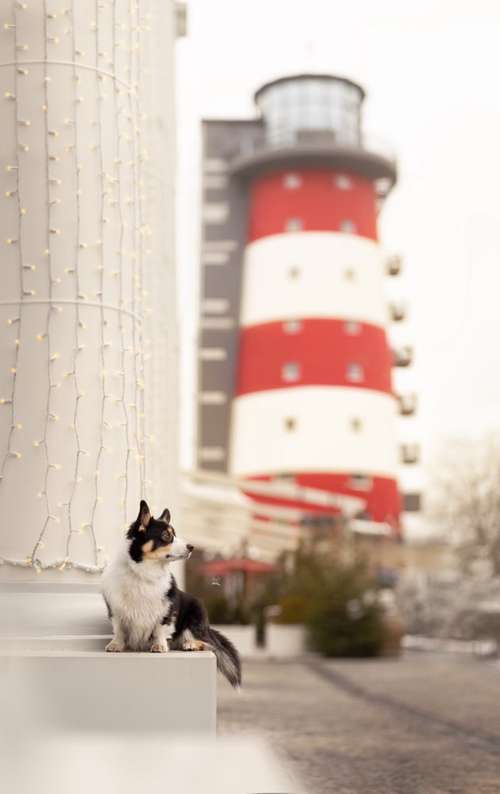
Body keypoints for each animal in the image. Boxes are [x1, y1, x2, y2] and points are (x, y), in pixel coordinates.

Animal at [100, 502, 241, 688]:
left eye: (175, 534)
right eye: (166, 536)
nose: (191, 547)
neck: (144, 573)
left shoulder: (166, 611)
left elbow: (160, 629)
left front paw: (159, 646)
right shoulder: (116, 611)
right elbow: (119, 630)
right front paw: (115, 645)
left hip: (195, 613)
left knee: (204, 641)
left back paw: (190, 643)